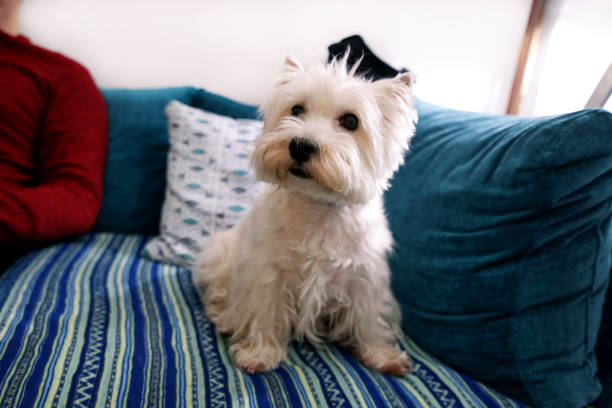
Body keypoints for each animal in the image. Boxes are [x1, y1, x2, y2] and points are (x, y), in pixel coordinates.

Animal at [194, 55, 418, 376]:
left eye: (351, 121)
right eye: (297, 109)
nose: (300, 145)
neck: (318, 208)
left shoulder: (365, 277)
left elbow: (368, 319)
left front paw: (382, 355)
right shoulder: (267, 271)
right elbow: (264, 311)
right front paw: (259, 354)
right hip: (222, 252)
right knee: (220, 291)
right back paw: (224, 317)